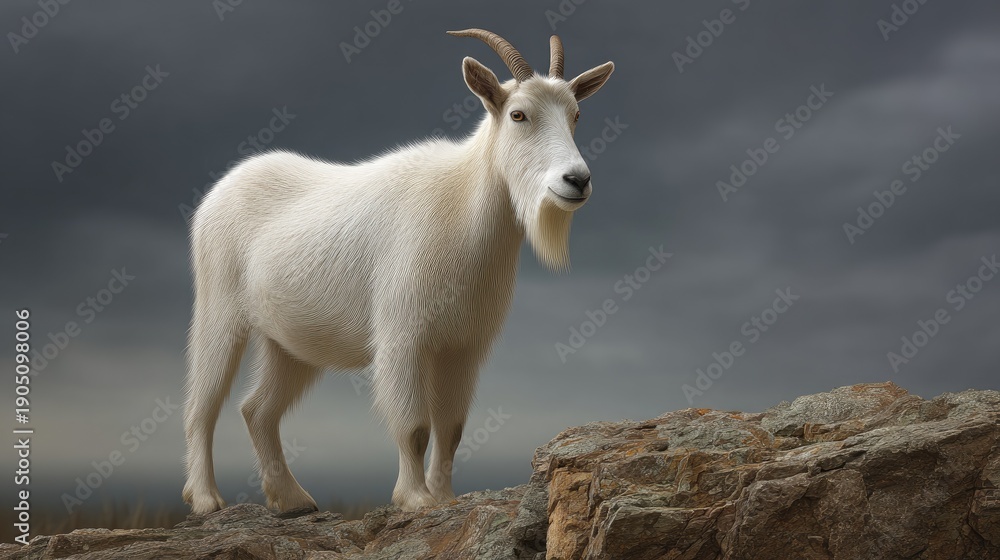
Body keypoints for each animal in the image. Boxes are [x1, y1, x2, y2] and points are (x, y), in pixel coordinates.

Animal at [182, 28, 614, 513]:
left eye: (576, 114)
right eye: (518, 114)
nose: (576, 180)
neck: (462, 204)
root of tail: (218, 191)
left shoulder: (463, 346)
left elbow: (451, 428)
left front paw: (444, 496)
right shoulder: (405, 335)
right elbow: (415, 427)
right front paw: (415, 498)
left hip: (289, 343)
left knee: (257, 410)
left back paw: (292, 499)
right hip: (220, 309)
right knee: (202, 404)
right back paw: (205, 499)